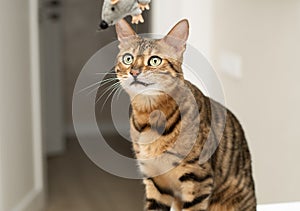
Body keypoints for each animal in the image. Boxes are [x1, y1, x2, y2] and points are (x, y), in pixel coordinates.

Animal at [112, 19, 255, 210]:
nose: (134, 72)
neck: (149, 119)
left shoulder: (199, 179)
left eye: (155, 60)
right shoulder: (155, 180)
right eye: (128, 58)